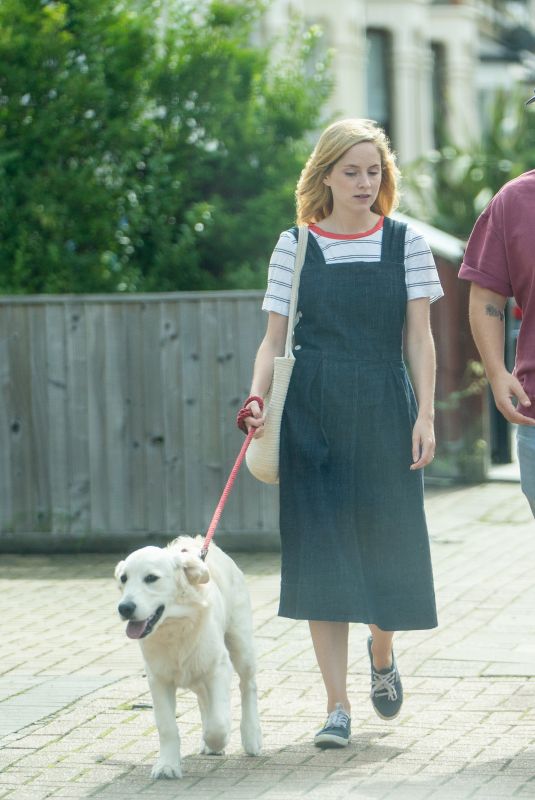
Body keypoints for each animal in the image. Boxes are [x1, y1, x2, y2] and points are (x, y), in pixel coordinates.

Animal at [114, 536, 262, 780]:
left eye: (151, 578)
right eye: (124, 578)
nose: (124, 607)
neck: (175, 625)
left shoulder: (218, 667)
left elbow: (218, 724)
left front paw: (216, 740)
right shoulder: (158, 679)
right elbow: (167, 727)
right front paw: (167, 765)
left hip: (241, 645)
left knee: (248, 686)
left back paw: (251, 737)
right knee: (204, 699)